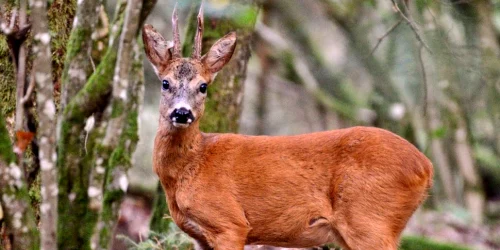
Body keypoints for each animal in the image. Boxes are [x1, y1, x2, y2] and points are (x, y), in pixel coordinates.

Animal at [142, 5, 434, 250]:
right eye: (165, 83)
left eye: (203, 86)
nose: (182, 113)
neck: (191, 164)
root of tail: (425, 167)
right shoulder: (200, 236)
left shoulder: (230, 223)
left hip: (370, 219)